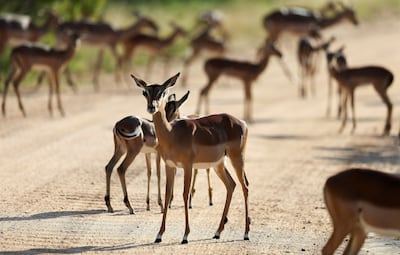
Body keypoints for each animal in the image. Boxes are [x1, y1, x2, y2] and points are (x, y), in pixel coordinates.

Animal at [136, 73, 252, 243]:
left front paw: (185, 235)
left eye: (162, 92)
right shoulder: (170, 166)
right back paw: (217, 232)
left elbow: (185, 195)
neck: (172, 134)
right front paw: (159, 235)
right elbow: (167, 195)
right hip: (219, 165)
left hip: (237, 158)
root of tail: (242, 123)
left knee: (245, 186)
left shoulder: (188, 166)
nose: (152, 107)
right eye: (145, 92)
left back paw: (246, 233)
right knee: (231, 185)